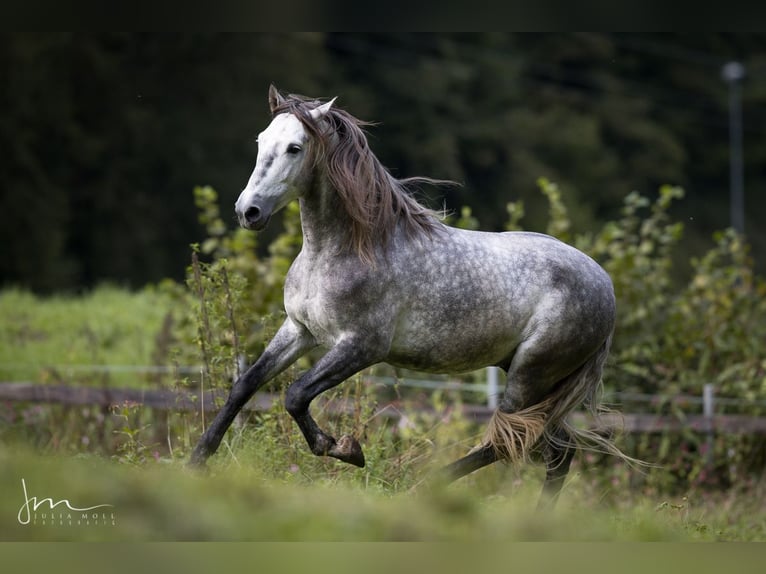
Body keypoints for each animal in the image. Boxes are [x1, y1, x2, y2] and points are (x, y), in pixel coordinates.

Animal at [189, 85, 628, 508]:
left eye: (295, 148)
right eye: (262, 140)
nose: (248, 212)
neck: (341, 250)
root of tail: (604, 283)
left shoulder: (361, 346)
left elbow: (296, 395)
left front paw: (345, 449)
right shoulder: (299, 330)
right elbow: (244, 385)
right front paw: (196, 461)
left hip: (531, 372)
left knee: (511, 442)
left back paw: (423, 487)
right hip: (534, 377)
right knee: (558, 451)